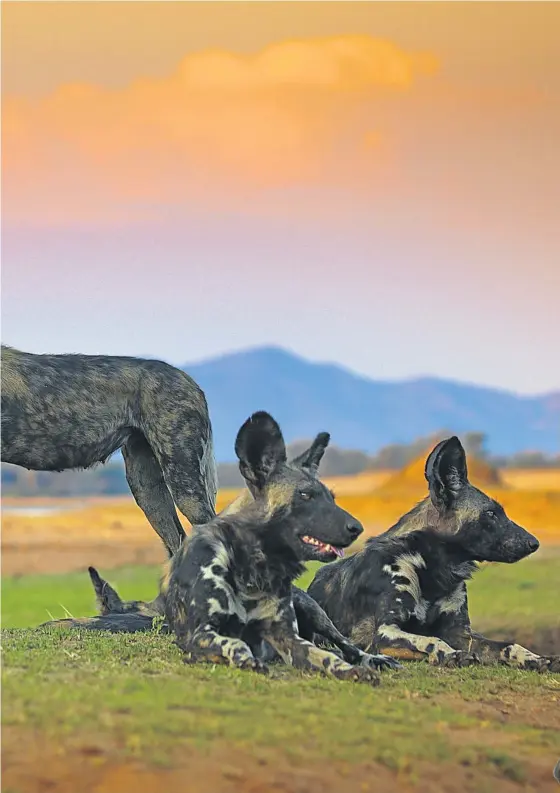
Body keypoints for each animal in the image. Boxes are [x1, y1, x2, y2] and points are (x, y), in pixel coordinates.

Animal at [43, 414, 400, 676]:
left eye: (331, 498)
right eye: (305, 496)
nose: (357, 527)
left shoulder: (288, 636)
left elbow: (327, 655)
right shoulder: (202, 634)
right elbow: (236, 645)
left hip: (314, 612)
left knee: (346, 645)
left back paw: (374, 660)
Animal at [306, 436, 560, 672]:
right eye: (490, 513)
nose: (534, 543)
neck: (434, 569)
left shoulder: (460, 633)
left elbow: (509, 645)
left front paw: (538, 658)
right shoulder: (385, 632)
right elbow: (430, 640)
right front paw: (450, 654)